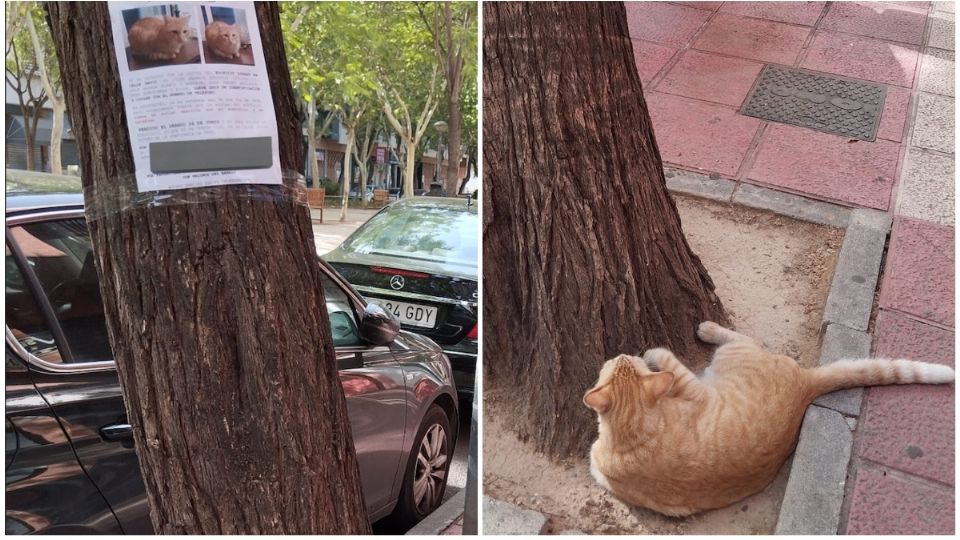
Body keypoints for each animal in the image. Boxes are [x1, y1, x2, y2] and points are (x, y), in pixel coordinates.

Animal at [584, 320, 952, 516]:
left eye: (620, 361)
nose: (622, 351)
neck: (633, 434)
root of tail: (805, 384)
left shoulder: (691, 387)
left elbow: (668, 360)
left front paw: (654, 351)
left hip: (734, 354)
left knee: (742, 337)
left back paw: (708, 328)